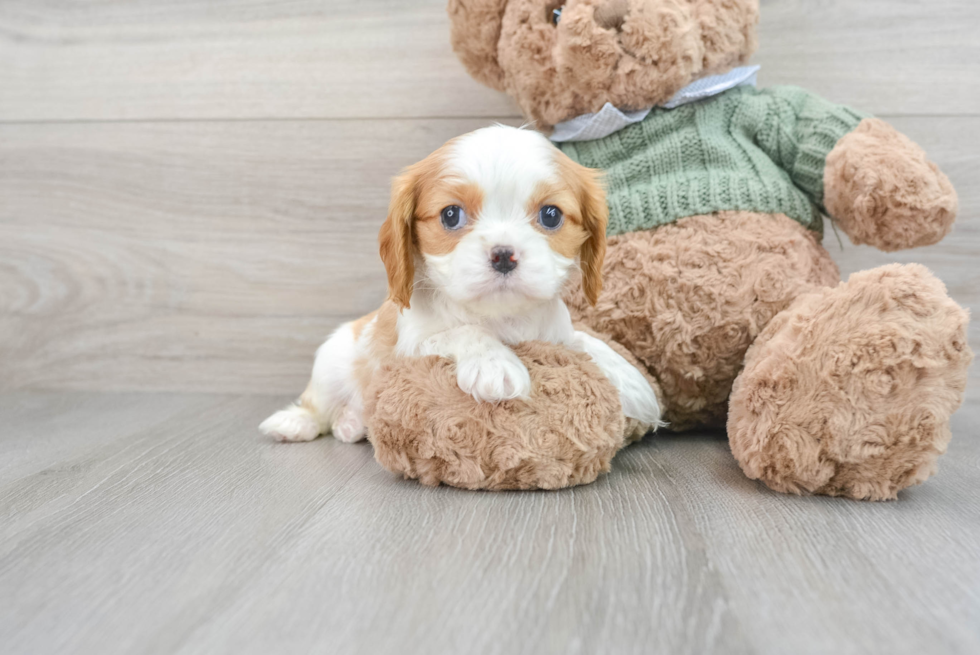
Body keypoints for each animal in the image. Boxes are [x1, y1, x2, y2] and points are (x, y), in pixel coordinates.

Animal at [260, 125, 664, 444]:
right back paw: (297, 422)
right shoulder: (410, 348)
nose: (503, 255)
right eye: (451, 215)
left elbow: (584, 339)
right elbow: (463, 331)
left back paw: (352, 424)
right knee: (318, 408)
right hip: (331, 364)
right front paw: (495, 364)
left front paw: (631, 381)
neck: (500, 317)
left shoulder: (555, 336)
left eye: (551, 215)